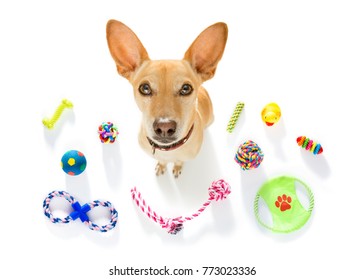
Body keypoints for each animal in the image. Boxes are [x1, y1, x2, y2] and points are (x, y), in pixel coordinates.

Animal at [106, 19, 228, 177]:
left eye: (186, 88)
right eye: (145, 88)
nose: (164, 127)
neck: (168, 151)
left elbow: (179, 161)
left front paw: (177, 167)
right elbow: (162, 161)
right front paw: (161, 165)